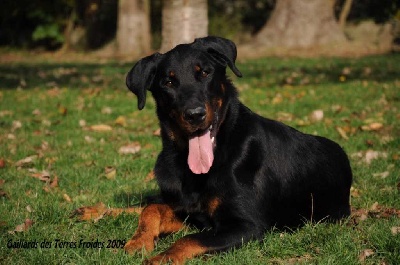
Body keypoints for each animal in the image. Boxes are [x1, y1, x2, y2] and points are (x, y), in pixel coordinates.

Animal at [76, 36, 352, 262]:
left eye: (205, 73)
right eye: (168, 81)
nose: (195, 114)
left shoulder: (246, 225)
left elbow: (187, 238)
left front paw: (159, 258)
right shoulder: (191, 213)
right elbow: (151, 209)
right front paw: (139, 241)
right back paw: (92, 211)